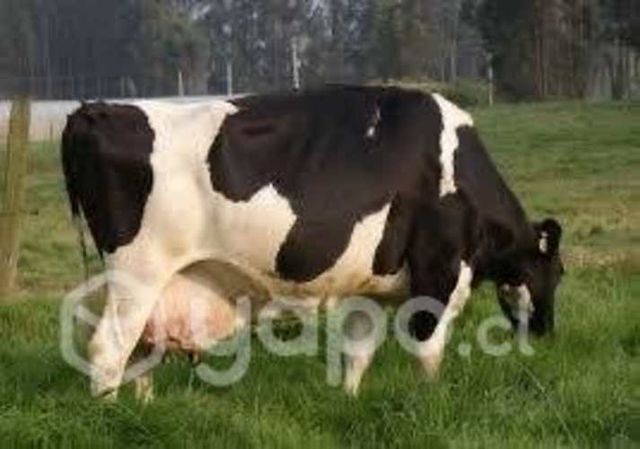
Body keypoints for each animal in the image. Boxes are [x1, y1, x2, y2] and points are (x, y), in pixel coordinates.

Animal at [61, 86, 564, 400]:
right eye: (558, 273)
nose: (546, 332)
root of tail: (95, 111)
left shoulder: (370, 287)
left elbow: (358, 351)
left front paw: (350, 399)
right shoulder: (439, 273)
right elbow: (429, 351)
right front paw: (430, 400)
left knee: (139, 350)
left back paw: (143, 407)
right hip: (138, 273)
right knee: (108, 349)